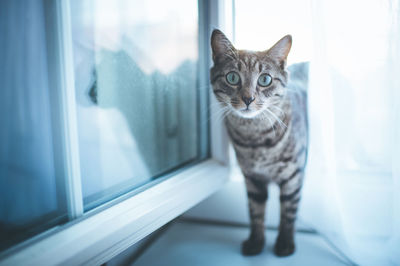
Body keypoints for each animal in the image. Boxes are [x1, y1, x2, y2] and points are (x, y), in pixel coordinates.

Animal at [211, 29, 308, 258]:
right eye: (232, 77)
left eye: (265, 79)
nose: (248, 99)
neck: (255, 138)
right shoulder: (252, 179)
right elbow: (255, 213)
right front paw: (256, 242)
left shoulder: (293, 175)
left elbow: (288, 213)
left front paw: (285, 244)